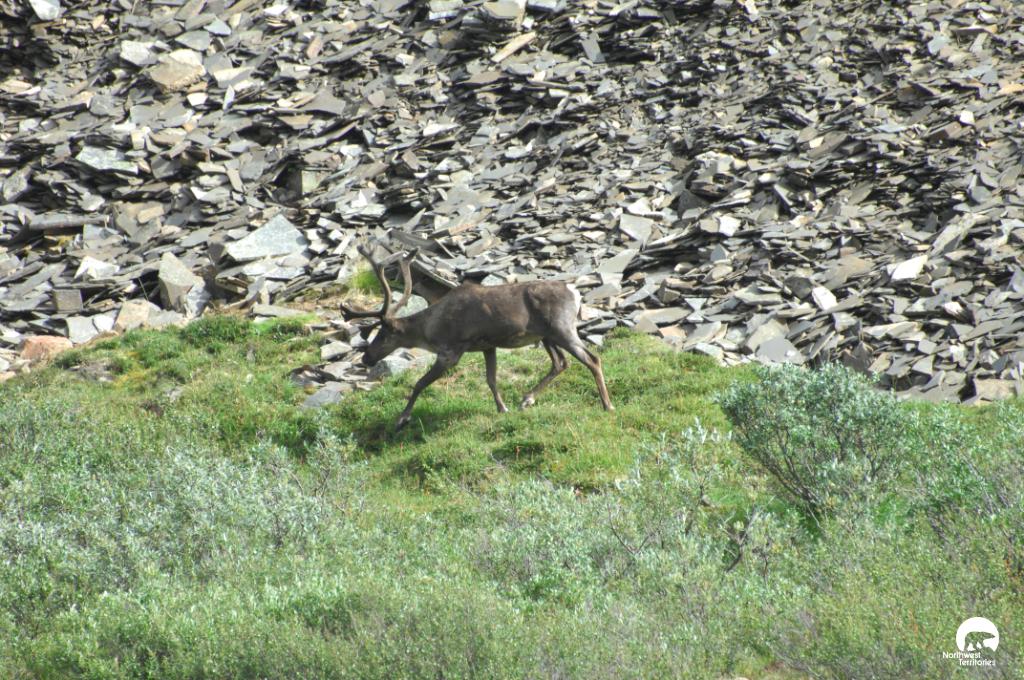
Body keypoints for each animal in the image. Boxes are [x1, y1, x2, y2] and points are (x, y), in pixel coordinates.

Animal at [341, 246, 613, 431]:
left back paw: (607, 405)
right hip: (547, 336)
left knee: (592, 359)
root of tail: (575, 292)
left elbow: (419, 383)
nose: (366, 358)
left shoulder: (450, 351)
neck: (430, 330)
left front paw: (401, 418)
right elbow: (491, 379)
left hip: (562, 329)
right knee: (560, 363)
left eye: (383, 334)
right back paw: (527, 399)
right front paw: (502, 408)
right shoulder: (487, 346)